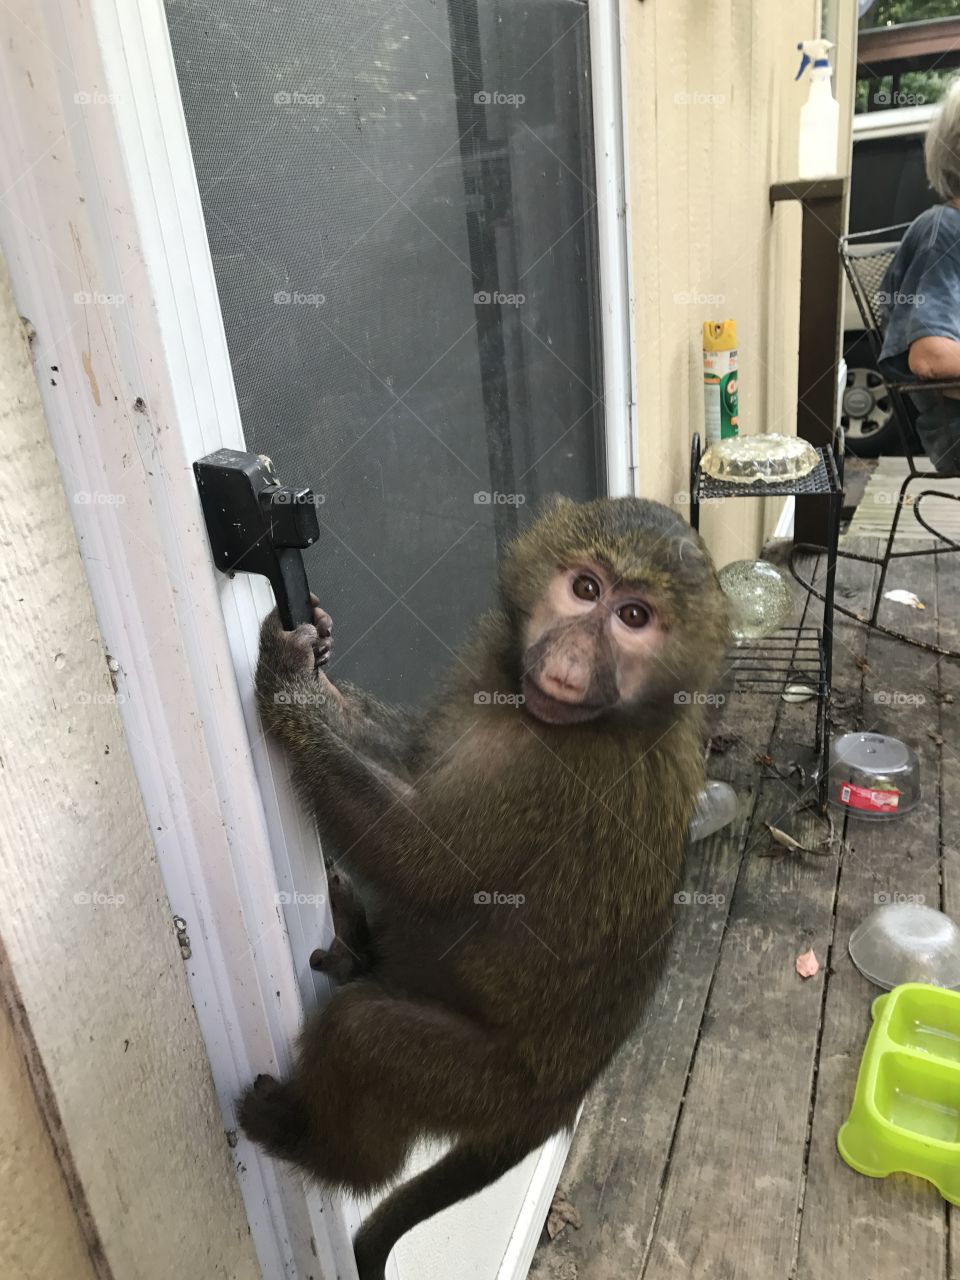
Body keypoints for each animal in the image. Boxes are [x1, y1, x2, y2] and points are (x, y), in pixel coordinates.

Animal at [238, 495, 730, 1280]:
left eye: (635, 617)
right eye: (585, 589)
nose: (569, 656)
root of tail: (558, 1105)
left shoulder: (555, 778)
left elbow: (425, 862)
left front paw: (291, 688)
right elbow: (410, 759)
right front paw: (317, 653)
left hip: (489, 1088)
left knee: (363, 1034)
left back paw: (321, 1150)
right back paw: (359, 951)